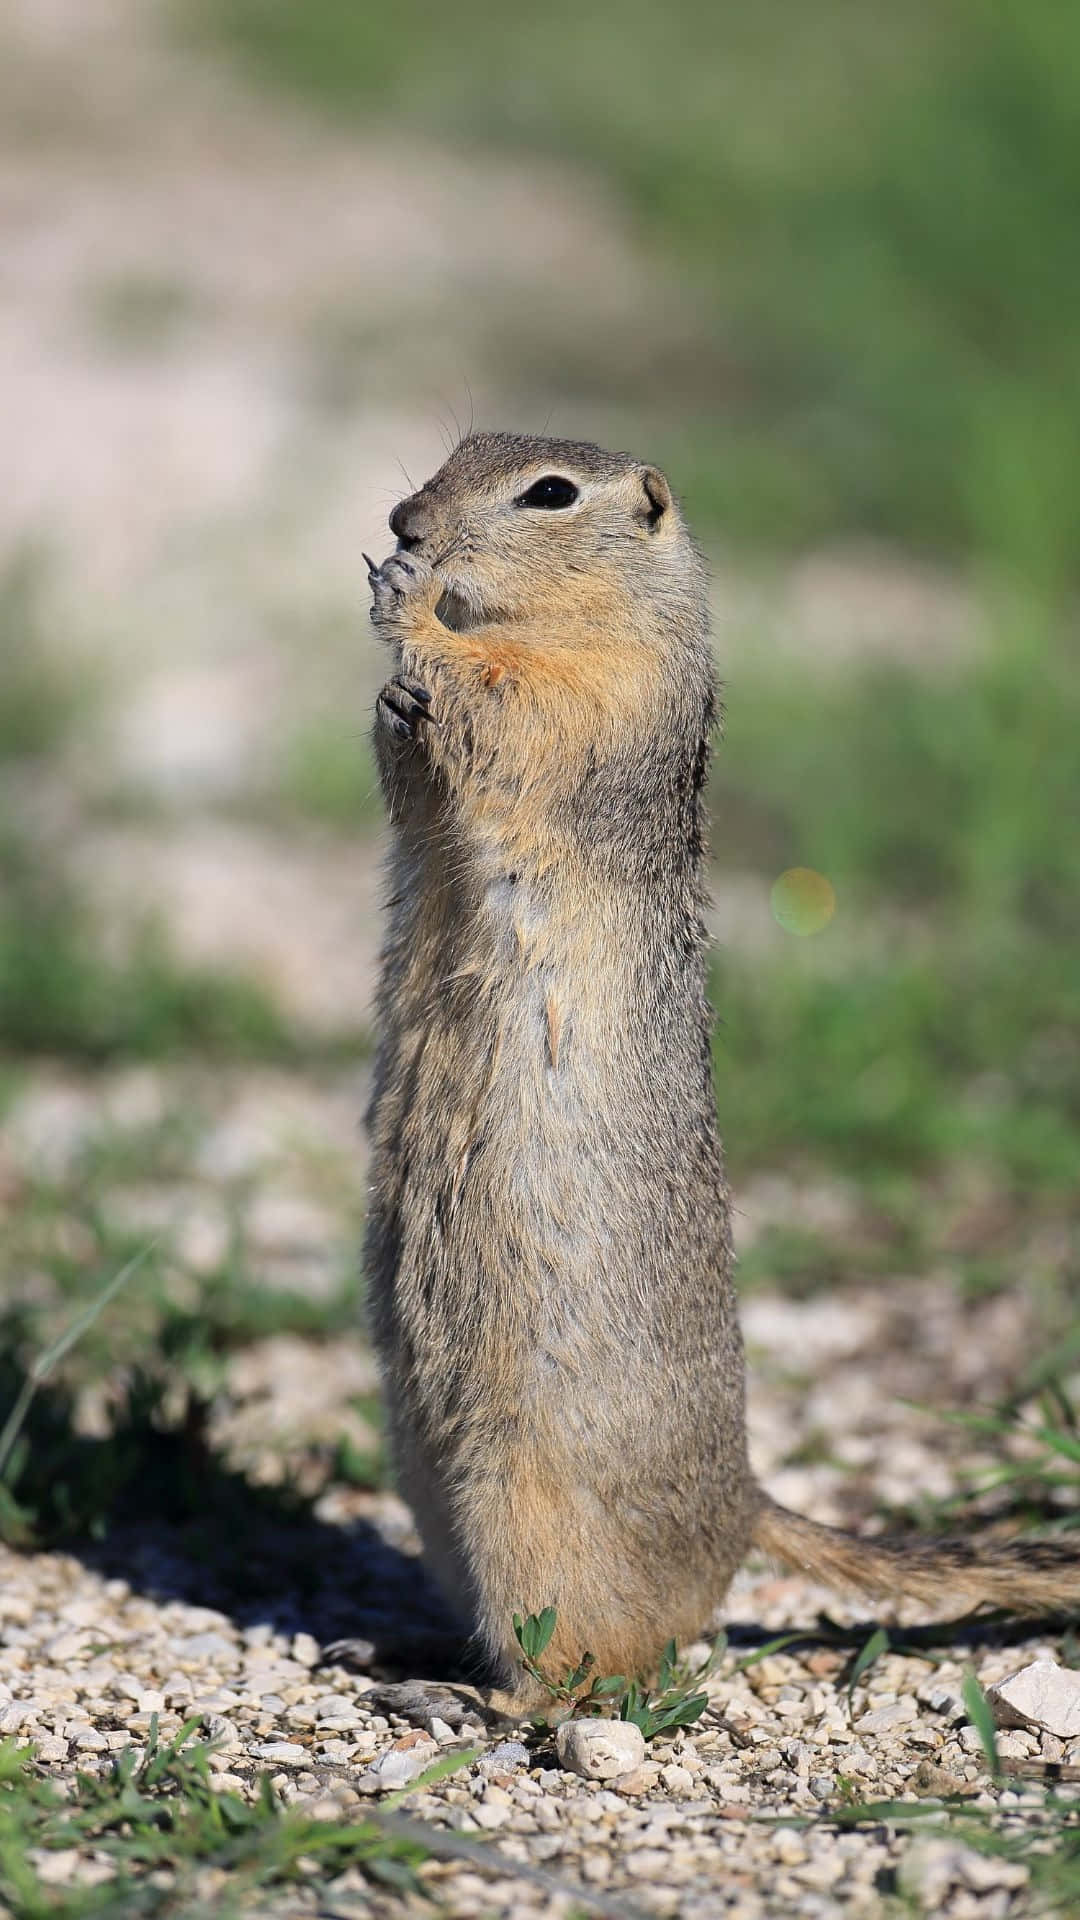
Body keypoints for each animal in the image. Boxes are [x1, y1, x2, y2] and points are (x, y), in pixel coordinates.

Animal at [359, 435, 1076, 1728]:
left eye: (549, 491)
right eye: (458, 449)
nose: (405, 519)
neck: (601, 612)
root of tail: (746, 1503)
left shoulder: (608, 696)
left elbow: (513, 707)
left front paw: (411, 611)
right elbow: (418, 779)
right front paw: (394, 683)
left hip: (525, 1519)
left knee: (593, 1674)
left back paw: (469, 1701)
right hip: (434, 1494)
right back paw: (398, 1652)